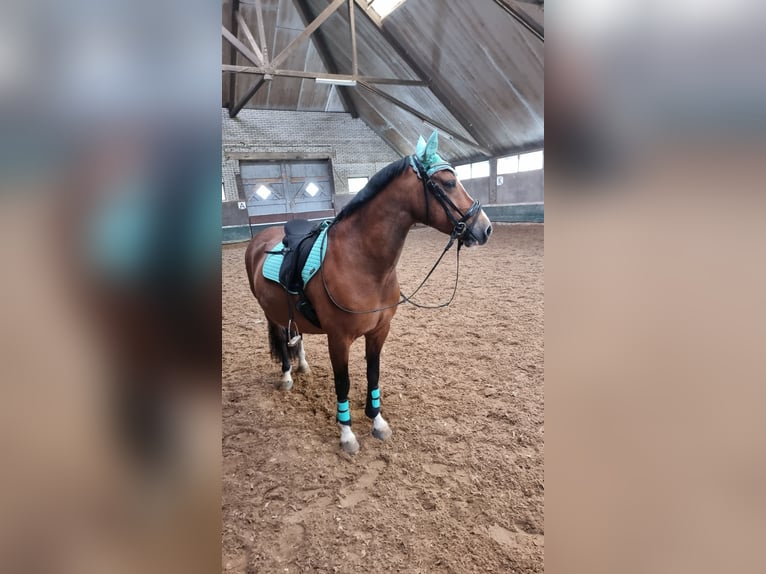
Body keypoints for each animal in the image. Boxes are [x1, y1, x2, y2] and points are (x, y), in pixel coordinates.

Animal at [249, 152, 496, 454]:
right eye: (449, 183)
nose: (485, 228)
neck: (361, 261)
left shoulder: (379, 331)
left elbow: (373, 373)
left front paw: (377, 421)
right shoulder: (338, 339)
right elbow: (343, 382)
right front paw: (347, 434)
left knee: (295, 333)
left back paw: (303, 365)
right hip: (269, 312)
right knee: (282, 337)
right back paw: (286, 376)